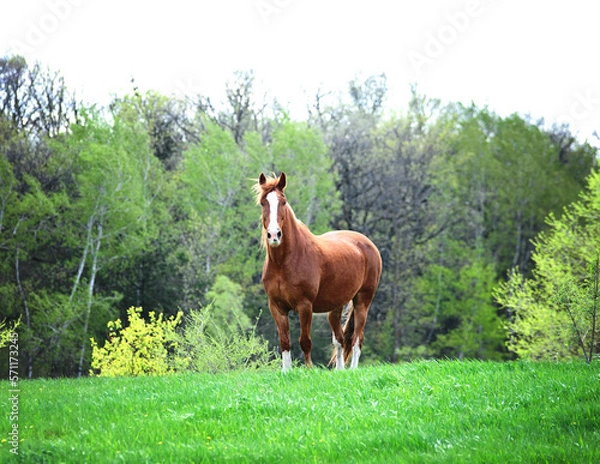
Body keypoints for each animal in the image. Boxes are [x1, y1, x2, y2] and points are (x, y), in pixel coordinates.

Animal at [255, 170, 382, 370]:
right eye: (263, 203)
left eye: (283, 202)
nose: (274, 235)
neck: (284, 262)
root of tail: (367, 244)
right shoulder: (277, 307)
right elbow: (285, 342)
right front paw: (286, 371)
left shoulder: (305, 306)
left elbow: (305, 341)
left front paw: (309, 370)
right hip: (336, 307)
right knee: (339, 339)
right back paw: (340, 371)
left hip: (363, 300)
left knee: (357, 339)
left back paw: (353, 369)